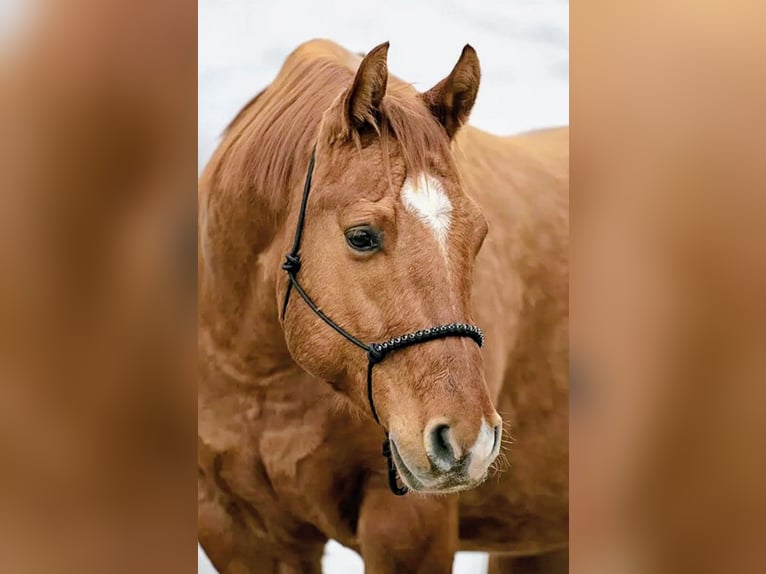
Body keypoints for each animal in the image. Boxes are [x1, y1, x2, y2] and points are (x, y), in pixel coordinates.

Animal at [198, 39, 568, 573]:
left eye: (479, 236)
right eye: (361, 236)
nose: (467, 440)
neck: (260, 379)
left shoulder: (409, 527)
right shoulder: (235, 530)